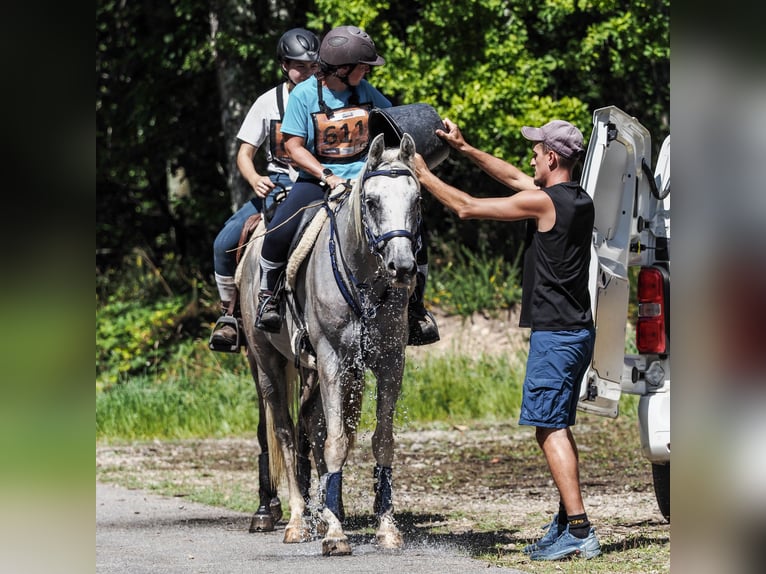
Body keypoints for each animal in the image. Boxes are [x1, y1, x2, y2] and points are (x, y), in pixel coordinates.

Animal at [238, 133, 424, 556]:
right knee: (286, 433)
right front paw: (336, 533)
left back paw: (320, 512)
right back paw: (295, 521)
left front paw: (385, 528)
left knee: (311, 426)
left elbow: (380, 441)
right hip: (266, 363)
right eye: (371, 202)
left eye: (417, 200)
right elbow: (336, 442)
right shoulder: (333, 362)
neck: (364, 277)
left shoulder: (389, 363)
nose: (403, 267)